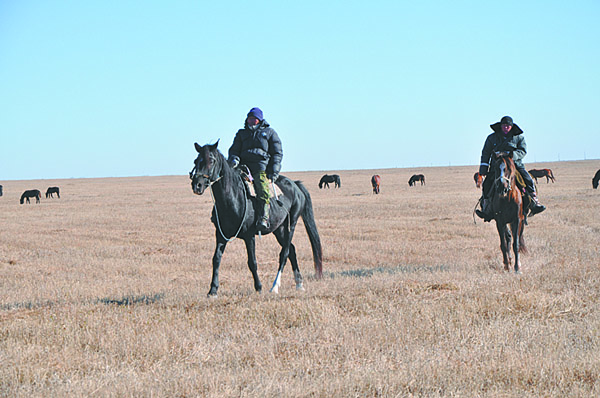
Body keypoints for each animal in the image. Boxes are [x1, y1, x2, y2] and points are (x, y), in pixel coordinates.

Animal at [191, 141, 324, 296]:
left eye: (211, 160)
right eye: (196, 161)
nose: (197, 185)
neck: (233, 198)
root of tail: (295, 185)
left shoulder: (249, 236)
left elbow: (252, 262)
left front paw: (259, 287)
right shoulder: (220, 235)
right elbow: (216, 259)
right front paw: (213, 290)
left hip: (291, 224)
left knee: (284, 253)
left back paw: (275, 286)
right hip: (279, 229)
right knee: (291, 250)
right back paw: (299, 284)